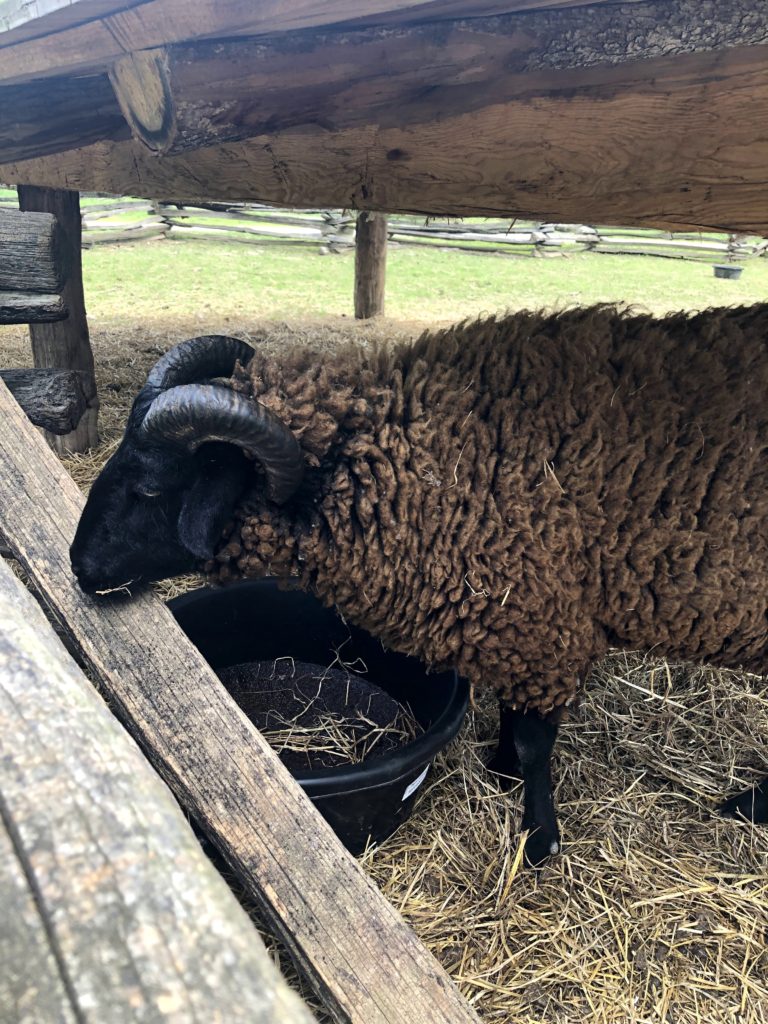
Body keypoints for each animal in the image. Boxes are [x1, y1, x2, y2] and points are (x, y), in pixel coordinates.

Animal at [70, 305, 768, 864]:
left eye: (150, 488)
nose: (78, 566)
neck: (435, 466)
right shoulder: (519, 626)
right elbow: (516, 722)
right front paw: (502, 774)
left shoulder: (548, 629)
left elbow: (537, 739)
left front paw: (539, 839)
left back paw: (747, 807)